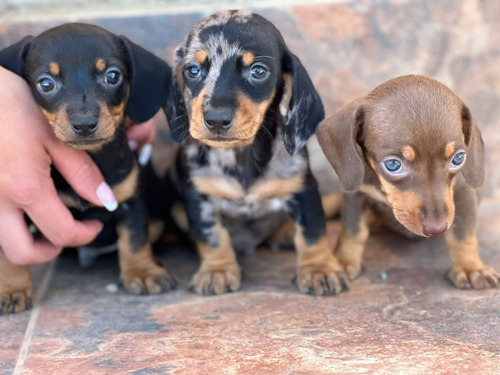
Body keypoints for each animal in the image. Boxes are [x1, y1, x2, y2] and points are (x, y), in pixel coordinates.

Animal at [0, 21, 176, 314]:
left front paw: (143, 272)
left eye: (113, 76)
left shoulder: (130, 200)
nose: (84, 124)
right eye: (46, 83)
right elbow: (10, 253)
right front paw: (12, 288)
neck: (90, 156)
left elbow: (134, 239)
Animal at [164, 9, 348, 296]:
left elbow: (313, 233)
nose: (216, 120)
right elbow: (211, 236)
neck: (242, 155)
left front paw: (319, 269)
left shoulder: (304, 190)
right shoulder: (198, 197)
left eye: (258, 71)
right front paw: (217, 270)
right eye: (193, 70)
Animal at [318, 75, 498, 290]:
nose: (437, 229)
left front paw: (471, 268)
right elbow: (353, 232)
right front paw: (342, 261)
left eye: (458, 159)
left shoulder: (464, 194)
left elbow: (463, 234)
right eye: (393, 165)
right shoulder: (357, 195)